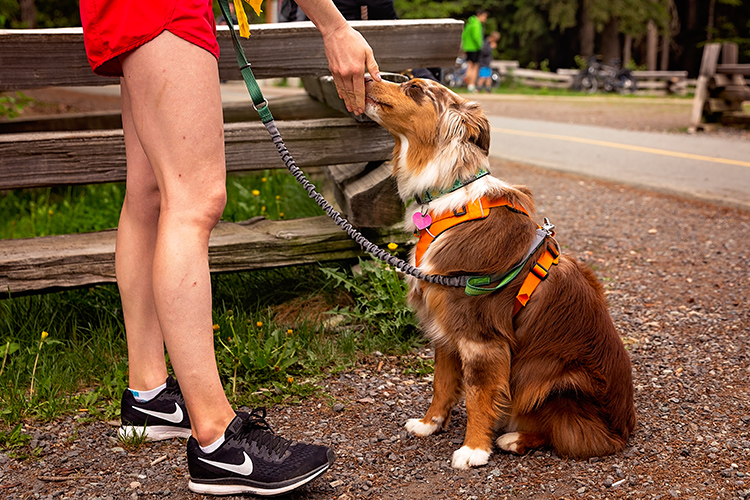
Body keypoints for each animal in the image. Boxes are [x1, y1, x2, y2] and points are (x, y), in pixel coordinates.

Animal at [368, 77, 636, 468]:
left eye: (415, 87)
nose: (367, 77)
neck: (452, 199)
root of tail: (623, 430)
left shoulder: (481, 336)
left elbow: (479, 395)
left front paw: (474, 450)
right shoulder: (445, 326)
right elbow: (442, 384)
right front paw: (430, 424)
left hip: (553, 378)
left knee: (575, 435)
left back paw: (514, 438)